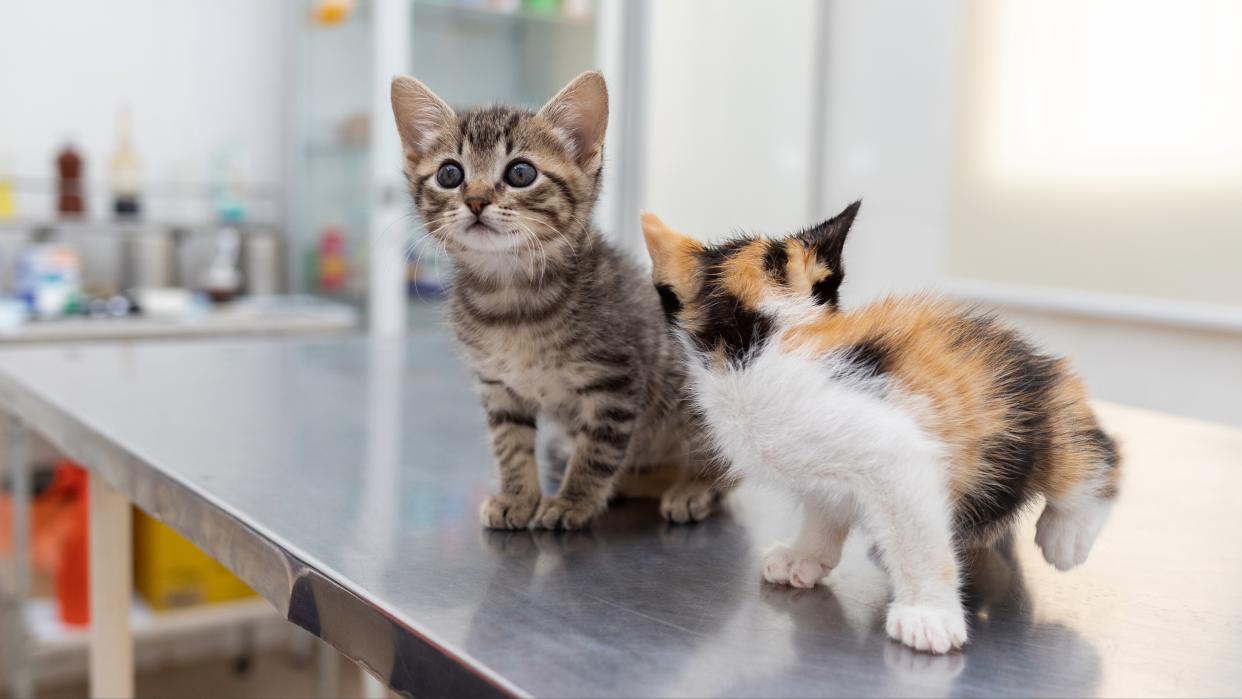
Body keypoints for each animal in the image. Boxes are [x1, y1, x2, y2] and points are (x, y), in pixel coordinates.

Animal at [392, 72, 730, 531]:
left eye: (520, 172)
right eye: (449, 174)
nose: (475, 200)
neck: (512, 297)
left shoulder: (615, 383)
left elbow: (597, 451)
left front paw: (573, 501)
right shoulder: (497, 386)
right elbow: (510, 444)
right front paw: (517, 496)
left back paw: (693, 488)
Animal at [645, 203, 1122, 655]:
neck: (764, 339)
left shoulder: (896, 453)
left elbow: (919, 540)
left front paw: (927, 615)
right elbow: (824, 503)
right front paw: (805, 555)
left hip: (1047, 422)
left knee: (1096, 459)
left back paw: (1066, 535)